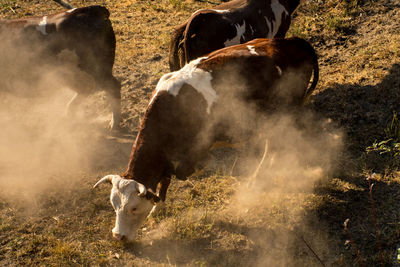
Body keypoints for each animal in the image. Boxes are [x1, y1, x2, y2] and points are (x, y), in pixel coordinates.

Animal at [93, 36, 318, 242]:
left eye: (133, 207)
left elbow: (179, 172)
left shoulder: (195, 151)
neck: (171, 109)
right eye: (114, 205)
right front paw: (158, 208)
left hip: (283, 114)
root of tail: (293, 42)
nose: (118, 236)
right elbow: (164, 182)